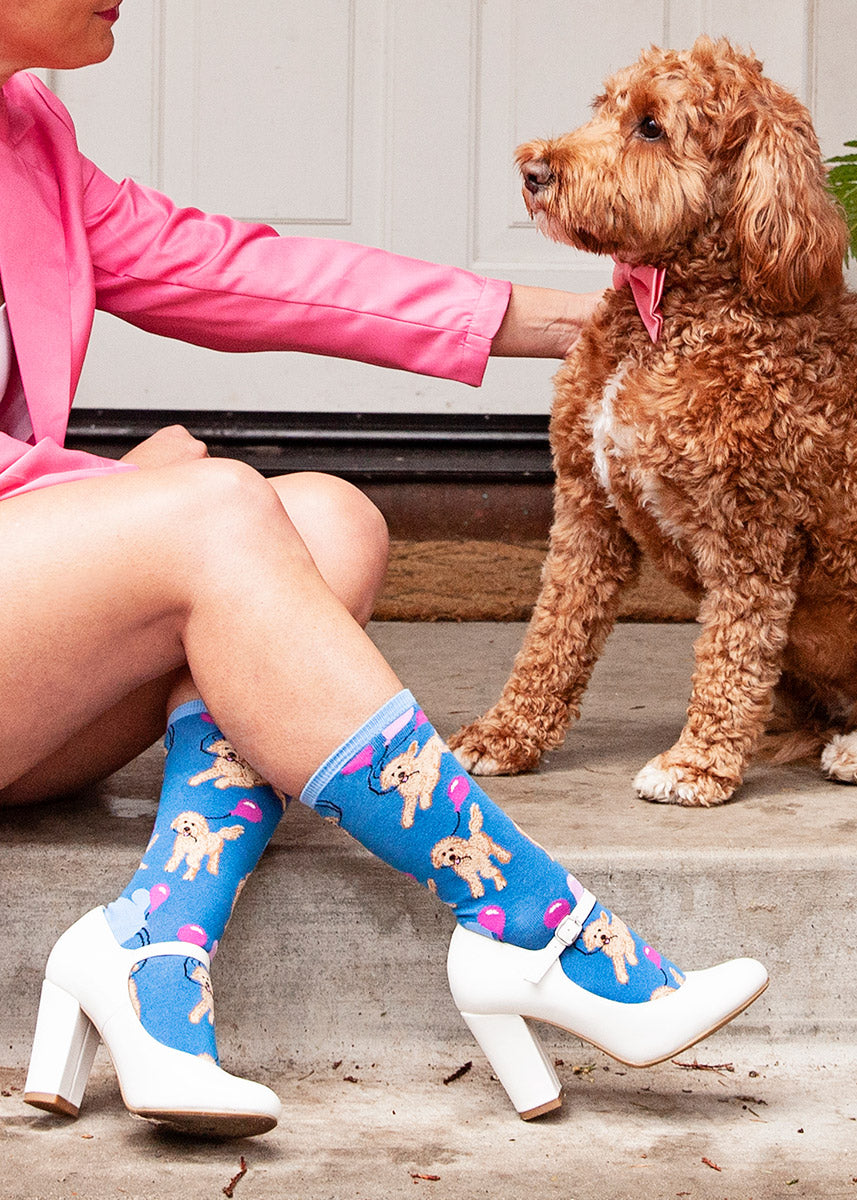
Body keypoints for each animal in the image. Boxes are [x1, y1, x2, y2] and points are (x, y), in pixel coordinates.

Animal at [451, 35, 854, 806]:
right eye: (604, 106)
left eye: (651, 127)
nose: (533, 170)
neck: (667, 316)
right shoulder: (585, 509)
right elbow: (553, 634)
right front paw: (504, 733)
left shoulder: (751, 535)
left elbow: (730, 655)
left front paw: (695, 765)